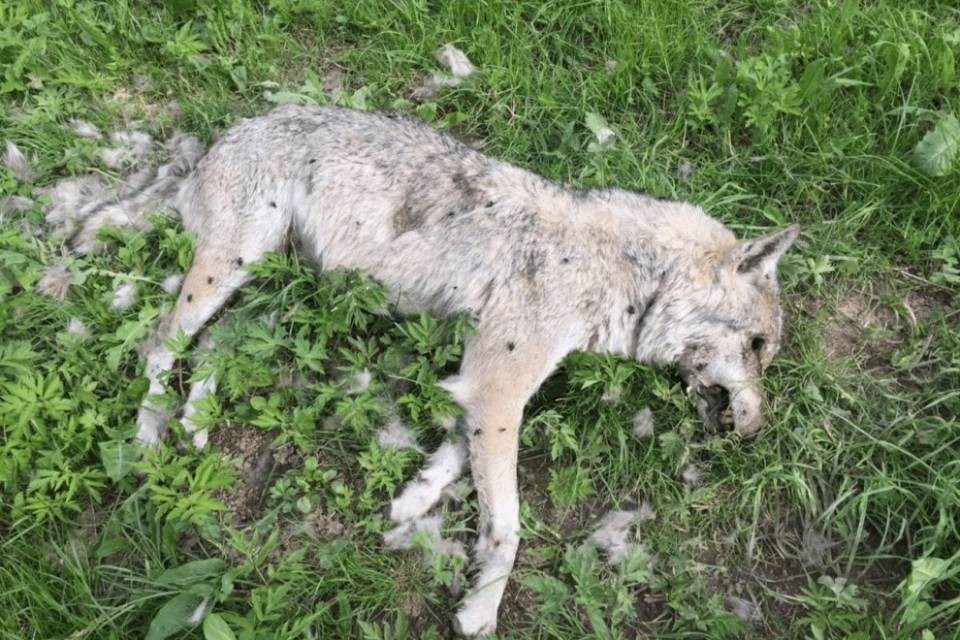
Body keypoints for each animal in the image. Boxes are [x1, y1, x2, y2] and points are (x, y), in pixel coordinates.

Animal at [67, 104, 798, 637]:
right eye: (760, 346)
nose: (758, 428)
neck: (627, 273)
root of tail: (216, 142)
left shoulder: (477, 389)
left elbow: (451, 459)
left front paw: (411, 502)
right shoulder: (498, 390)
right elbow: (508, 527)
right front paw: (481, 610)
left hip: (270, 293)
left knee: (215, 349)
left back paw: (195, 424)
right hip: (231, 272)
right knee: (158, 347)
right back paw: (148, 439)